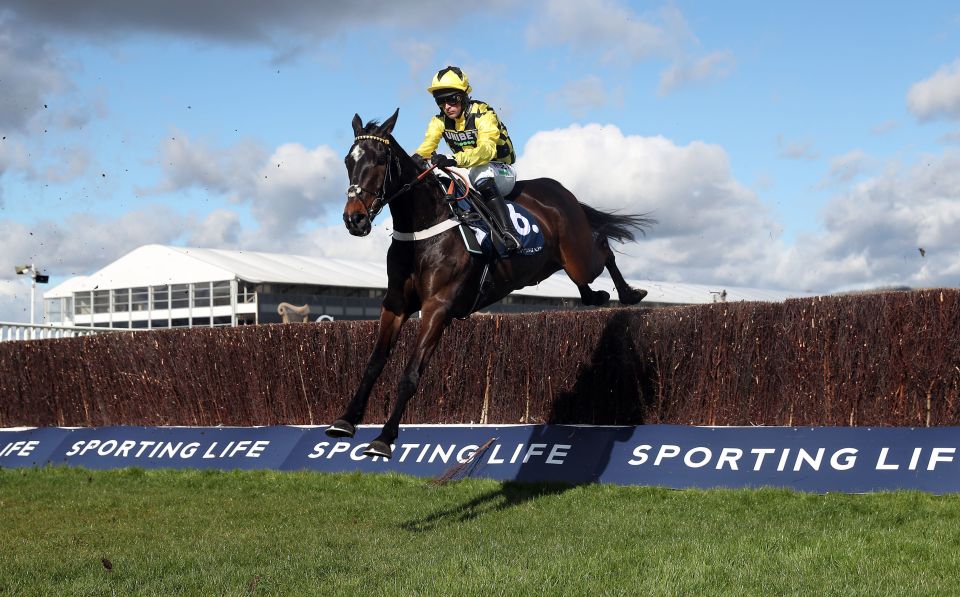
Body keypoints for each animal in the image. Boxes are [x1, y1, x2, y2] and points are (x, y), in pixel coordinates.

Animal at [324, 109, 652, 458]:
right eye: (348, 160)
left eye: (381, 159)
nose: (354, 219)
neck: (422, 231)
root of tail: (560, 190)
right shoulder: (396, 305)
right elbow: (374, 363)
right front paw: (345, 420)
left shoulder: (438, 308)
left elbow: (410, 374)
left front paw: (384, 438)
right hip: (553, 263)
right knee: (588, 275)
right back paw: (598, 296)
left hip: (579, 257)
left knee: (602, 246)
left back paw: (630, 293)